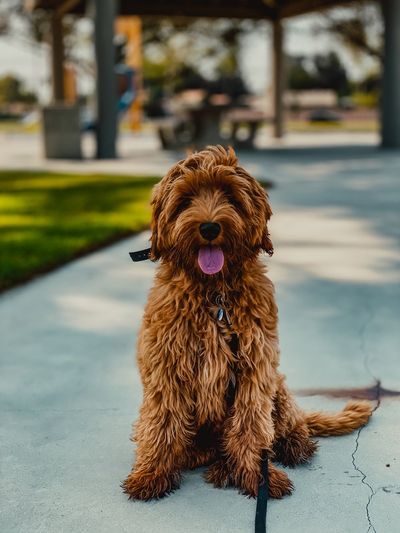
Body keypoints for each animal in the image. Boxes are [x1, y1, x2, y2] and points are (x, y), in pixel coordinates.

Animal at [123, 144, 374, 498]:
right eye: (185, 199)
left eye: (230, 196)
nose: (210, 228)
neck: (214, 293)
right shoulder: (166, 365)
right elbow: (162, 420)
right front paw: (152, 473)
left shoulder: (255, 366)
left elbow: (250, 425)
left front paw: (256, 474)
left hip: (278, 386)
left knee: (291, 429)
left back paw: (286, 449)